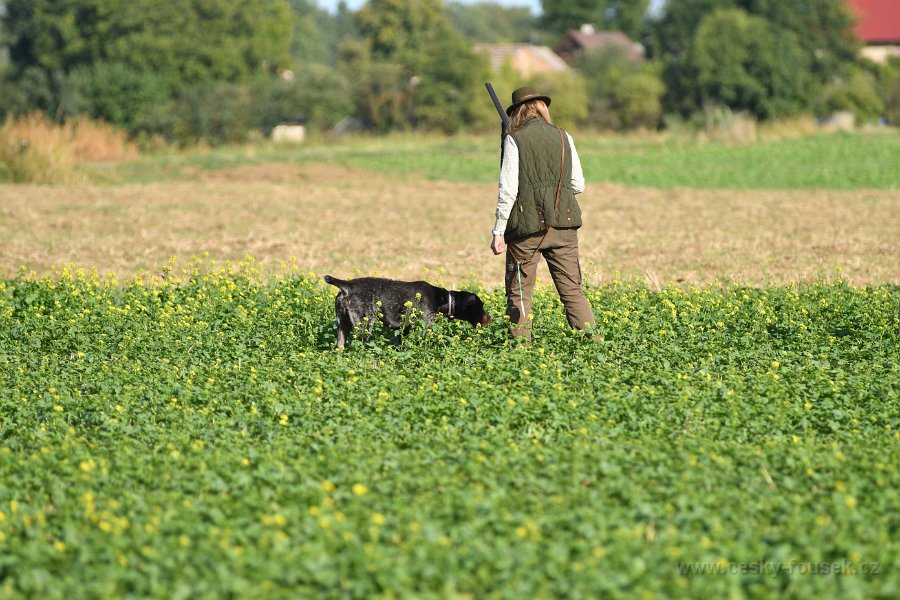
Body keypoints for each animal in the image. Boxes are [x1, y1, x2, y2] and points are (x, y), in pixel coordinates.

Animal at [324, 276, 492, 350]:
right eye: (481, 305)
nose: (489, 319)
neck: (442, 299)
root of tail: (347, 286)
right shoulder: (424, 326)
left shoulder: (404, 329)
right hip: (365, 324)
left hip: (342, 325)